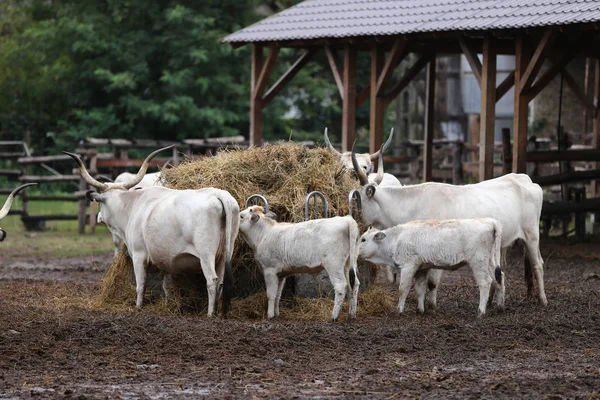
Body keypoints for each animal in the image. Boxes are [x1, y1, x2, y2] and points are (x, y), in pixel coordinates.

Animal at [62, 145, 237, 318]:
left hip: (206, 254)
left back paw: (210, 314)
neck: (132, 207)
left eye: (99, 203)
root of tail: (218, 194)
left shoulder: (139, 256)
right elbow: (166, 286)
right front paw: (167, 305)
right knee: (221, 282)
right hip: (224, 254)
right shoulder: (166, 260)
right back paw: (219, 312)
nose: (99, 217)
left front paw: (138, 307)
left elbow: (141, 284)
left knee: (212, 280)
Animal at [360, 219, 506, 316]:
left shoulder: (408, 267)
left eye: (363, 239)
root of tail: (490, 222)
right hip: (491, 262)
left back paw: (481, 311)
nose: (356, 252)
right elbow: (420, 289)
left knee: (485, 282)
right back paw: (500, 306)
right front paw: (420, 310)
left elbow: (403, 289)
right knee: (499, 278)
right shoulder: (421, 269)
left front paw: (399, 310)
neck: (397, 238)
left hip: (478, 263)